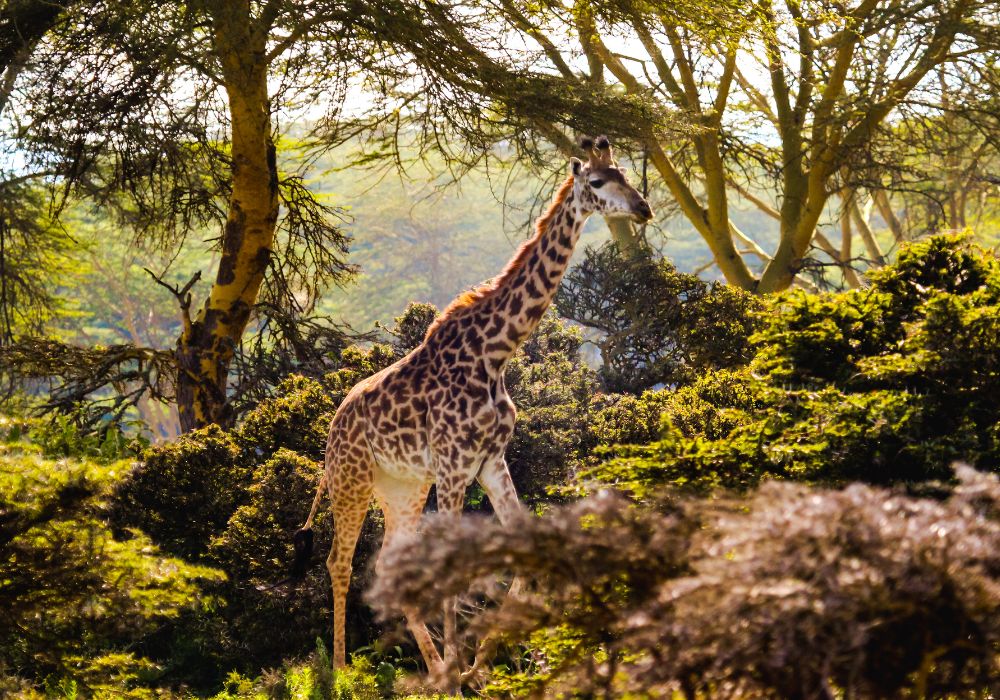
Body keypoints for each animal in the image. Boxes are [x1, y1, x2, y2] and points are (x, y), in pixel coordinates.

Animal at [294, 134, 656, 680]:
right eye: (597, 181)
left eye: (626, 174)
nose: (643, 208)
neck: (495, 352)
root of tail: (331, 429)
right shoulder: (453, 467)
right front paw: (462, 669)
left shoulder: (490, 460)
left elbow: (523, 548)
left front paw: (477, 664)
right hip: (352, 482)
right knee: (339, 561)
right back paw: (341, 671)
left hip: (402, 486)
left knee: (386, 562)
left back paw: (432, 667)